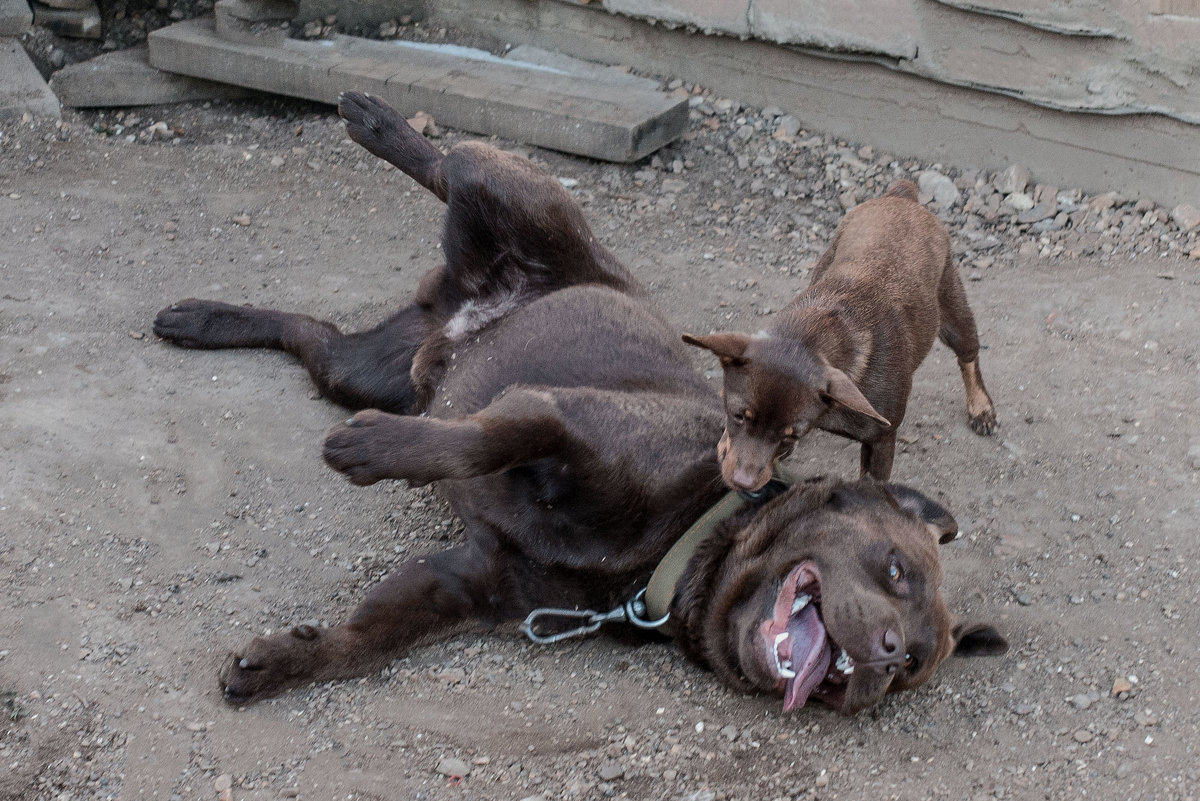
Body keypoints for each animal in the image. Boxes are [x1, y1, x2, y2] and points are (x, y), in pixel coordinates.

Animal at [686, 179, 993, 489]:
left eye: (791, 435)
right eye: (738, 415)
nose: (743, 483)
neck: (810, 337)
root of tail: (903, 197)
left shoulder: (882, 441)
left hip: (952, 311)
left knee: (969, 356)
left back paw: (981, 408)